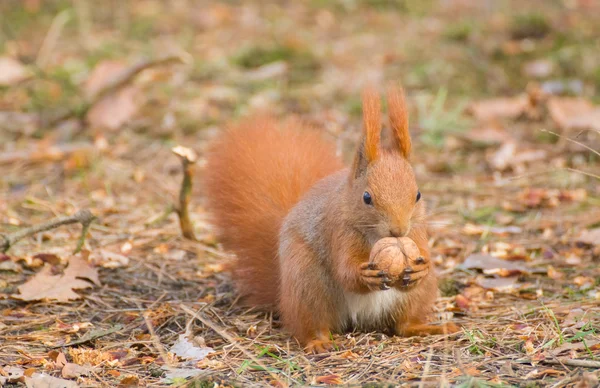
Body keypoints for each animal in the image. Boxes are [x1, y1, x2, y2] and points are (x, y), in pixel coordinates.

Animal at [204, 86, 458, 354]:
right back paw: (318, 341)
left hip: (418, 295)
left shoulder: (417, 230)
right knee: (312, 323)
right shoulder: (338, 230)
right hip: (307, 281)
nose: (398, 231)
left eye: (418, 195)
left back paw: (428, 327)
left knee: (404, 325)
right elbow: (344, 271)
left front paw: (421, 267)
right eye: (367, 197)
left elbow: (423, 253)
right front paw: (364, 276)